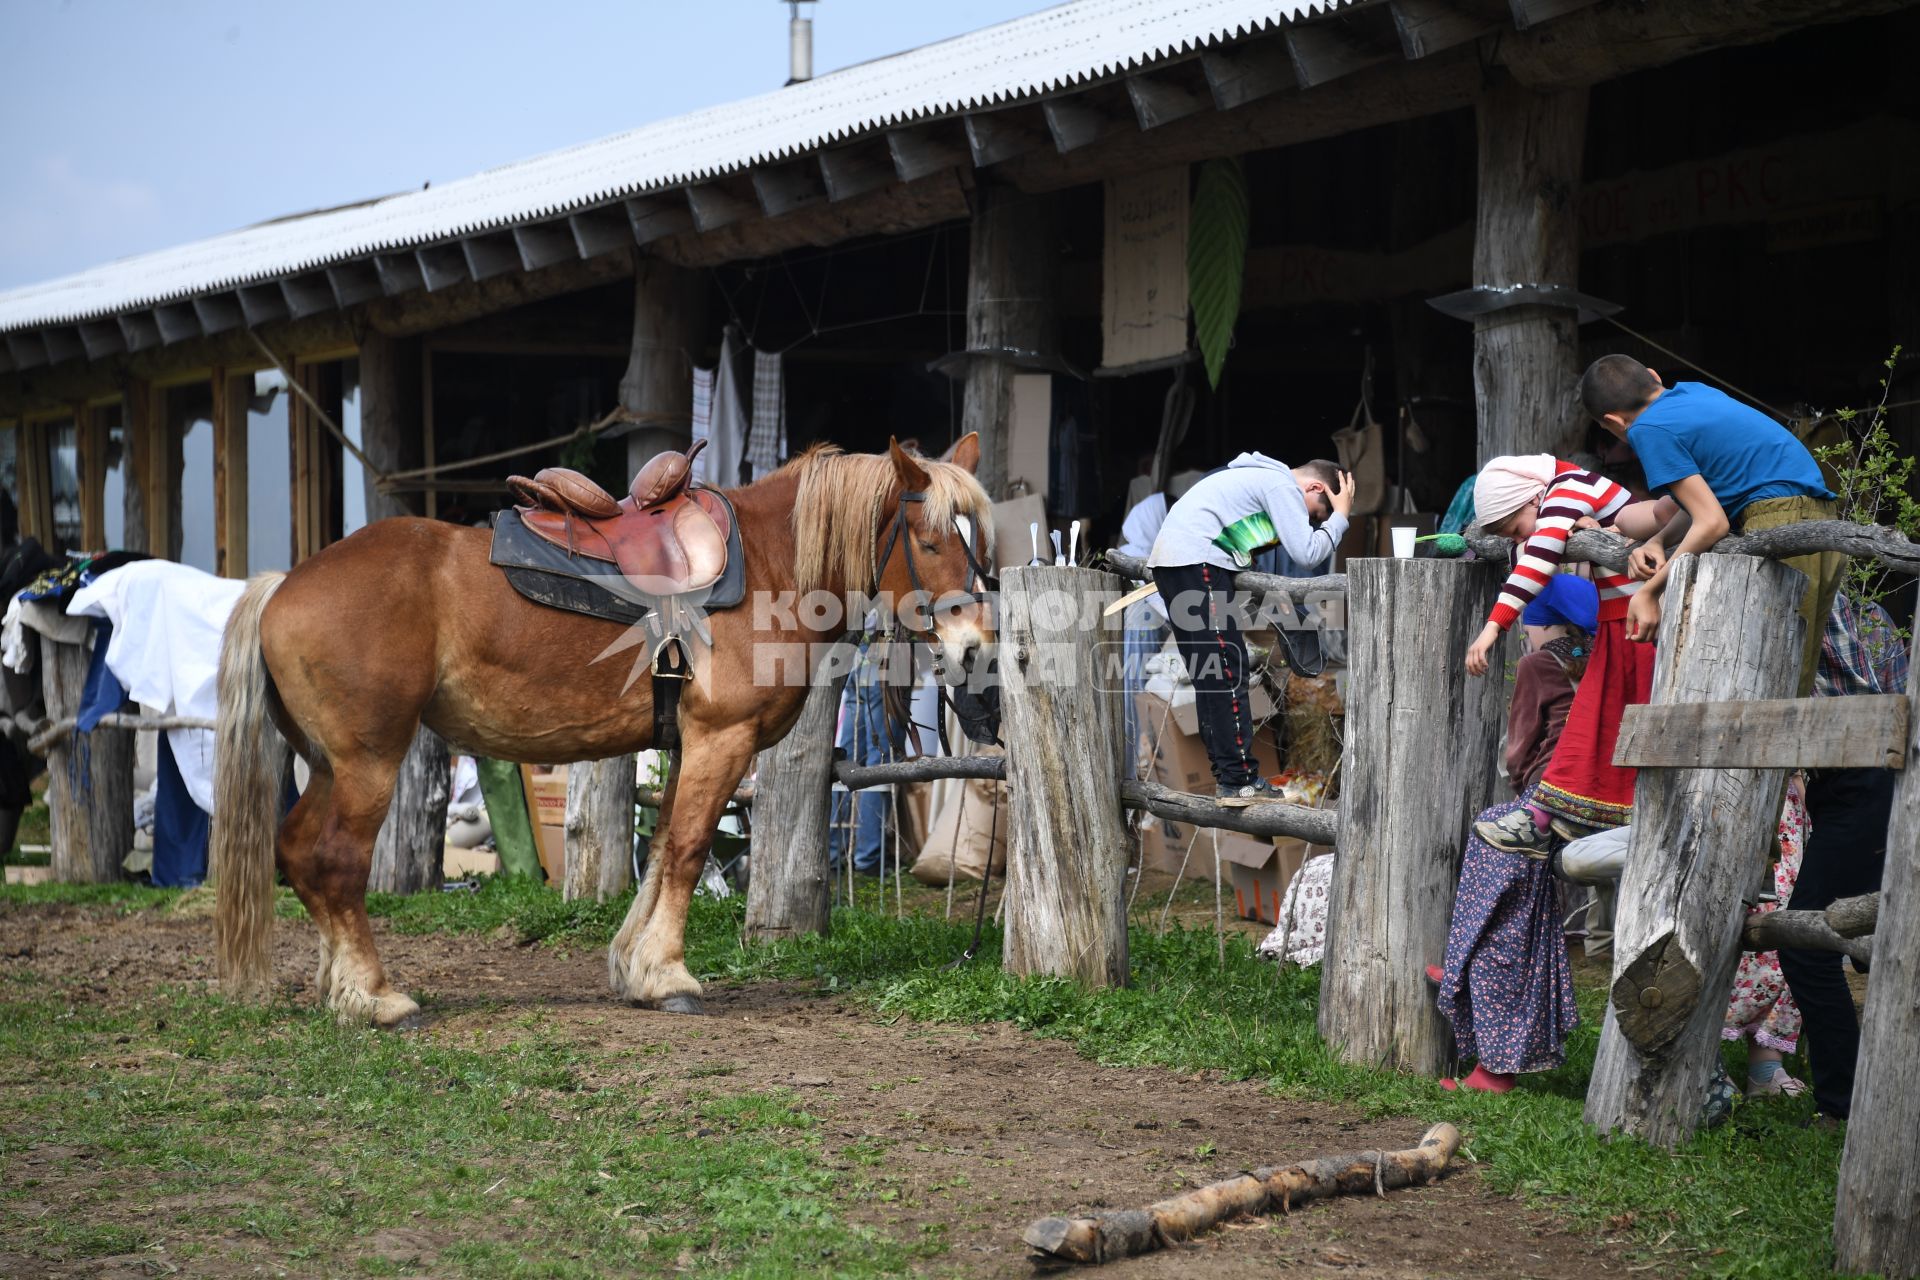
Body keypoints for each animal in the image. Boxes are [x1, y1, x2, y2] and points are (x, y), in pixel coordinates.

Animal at [210, 435, 990, 1028]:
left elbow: (664, 850)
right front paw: (669, 974)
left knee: (299, 853)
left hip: (327, 764)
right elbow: (687, 851)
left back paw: (336, 986)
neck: (771, 562)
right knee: (337, 862)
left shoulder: (686, 746)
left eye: (981, 539)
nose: (975, 646)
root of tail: (282, 586)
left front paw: (635, 968)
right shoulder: (721, 740)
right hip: (368, 762)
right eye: (928, 540)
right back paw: (375, 997)